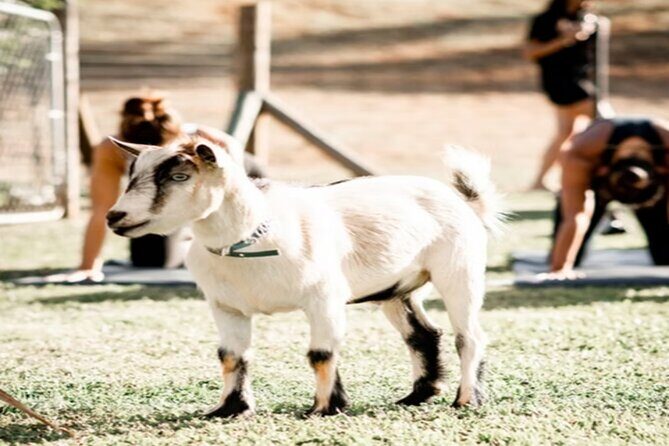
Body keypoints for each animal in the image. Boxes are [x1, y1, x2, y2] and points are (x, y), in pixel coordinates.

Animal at [106, 134, 502, 417]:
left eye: (179, 176)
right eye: (133, 175)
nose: (114, 216)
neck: (250, 240)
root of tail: (465, 201)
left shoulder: (323, 298)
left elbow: (321, 353)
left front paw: (324, 408)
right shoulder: (225, 307)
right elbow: (231, 356)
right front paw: (229, 409)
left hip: (460, 271)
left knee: (469, 336)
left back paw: (466, 400)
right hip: (397, 288)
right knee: (422, 335)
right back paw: (416, 396)